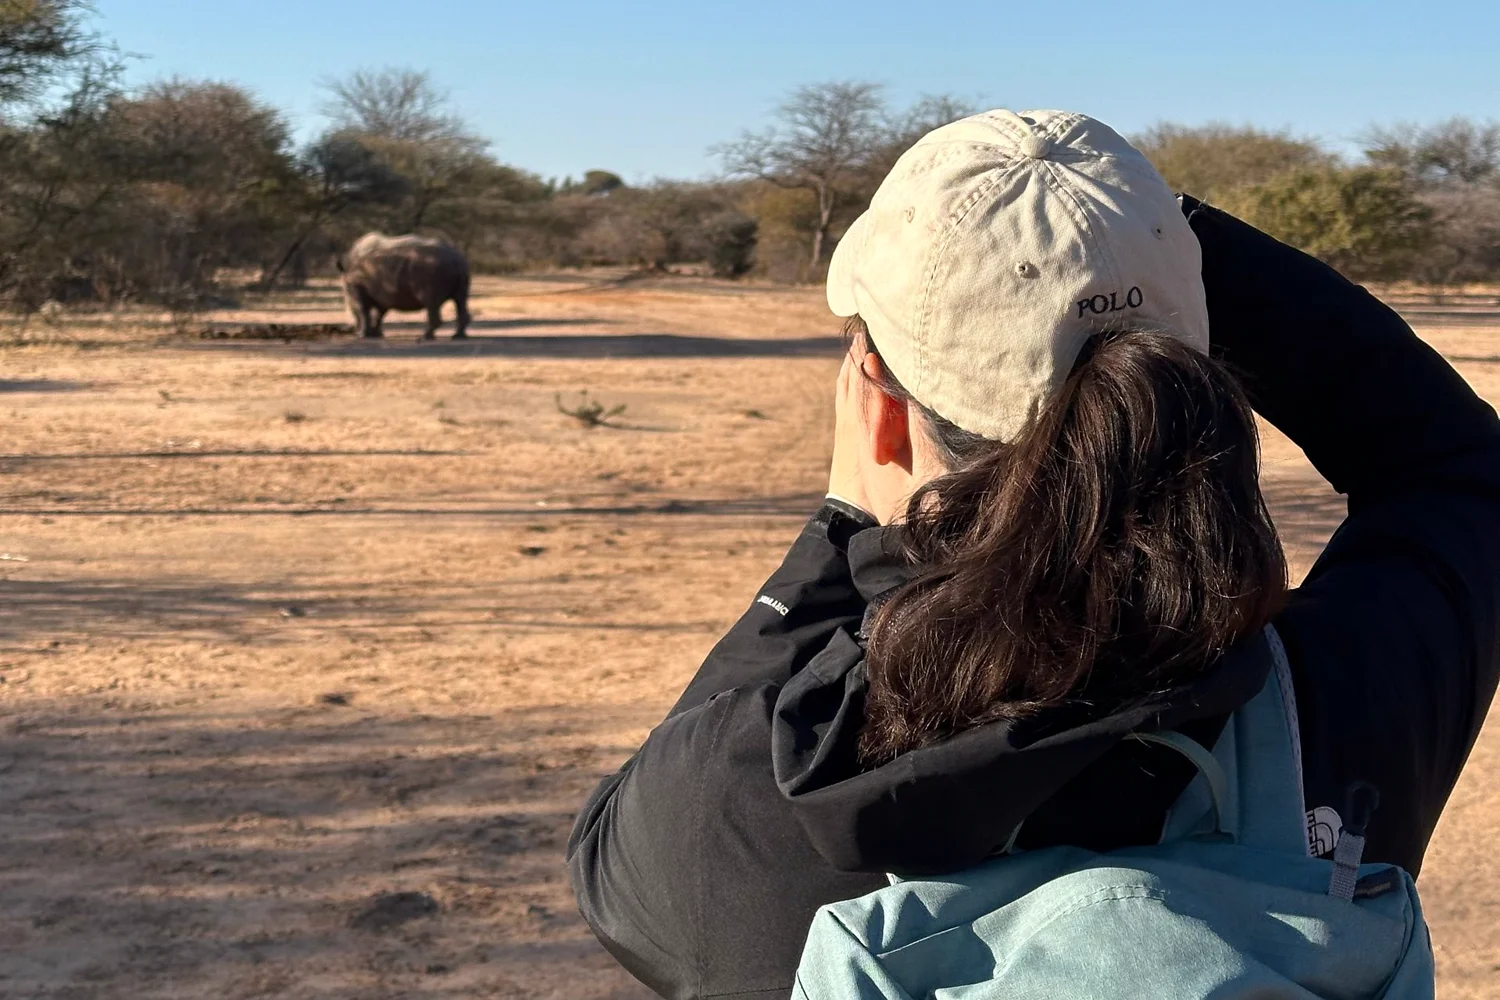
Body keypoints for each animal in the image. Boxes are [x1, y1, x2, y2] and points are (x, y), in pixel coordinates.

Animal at [337, 233, 471, 339]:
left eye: (349, 310)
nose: (351, 330)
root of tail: (456, 259)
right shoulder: (382, 293)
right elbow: (379, 313)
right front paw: (376, 334)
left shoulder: (357, 288)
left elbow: (363, 310)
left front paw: (362, 335)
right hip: (460, 268)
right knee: (460, 299)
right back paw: (458, 336)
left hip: (432, 271)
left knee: (431, 303)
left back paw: (425, 336)